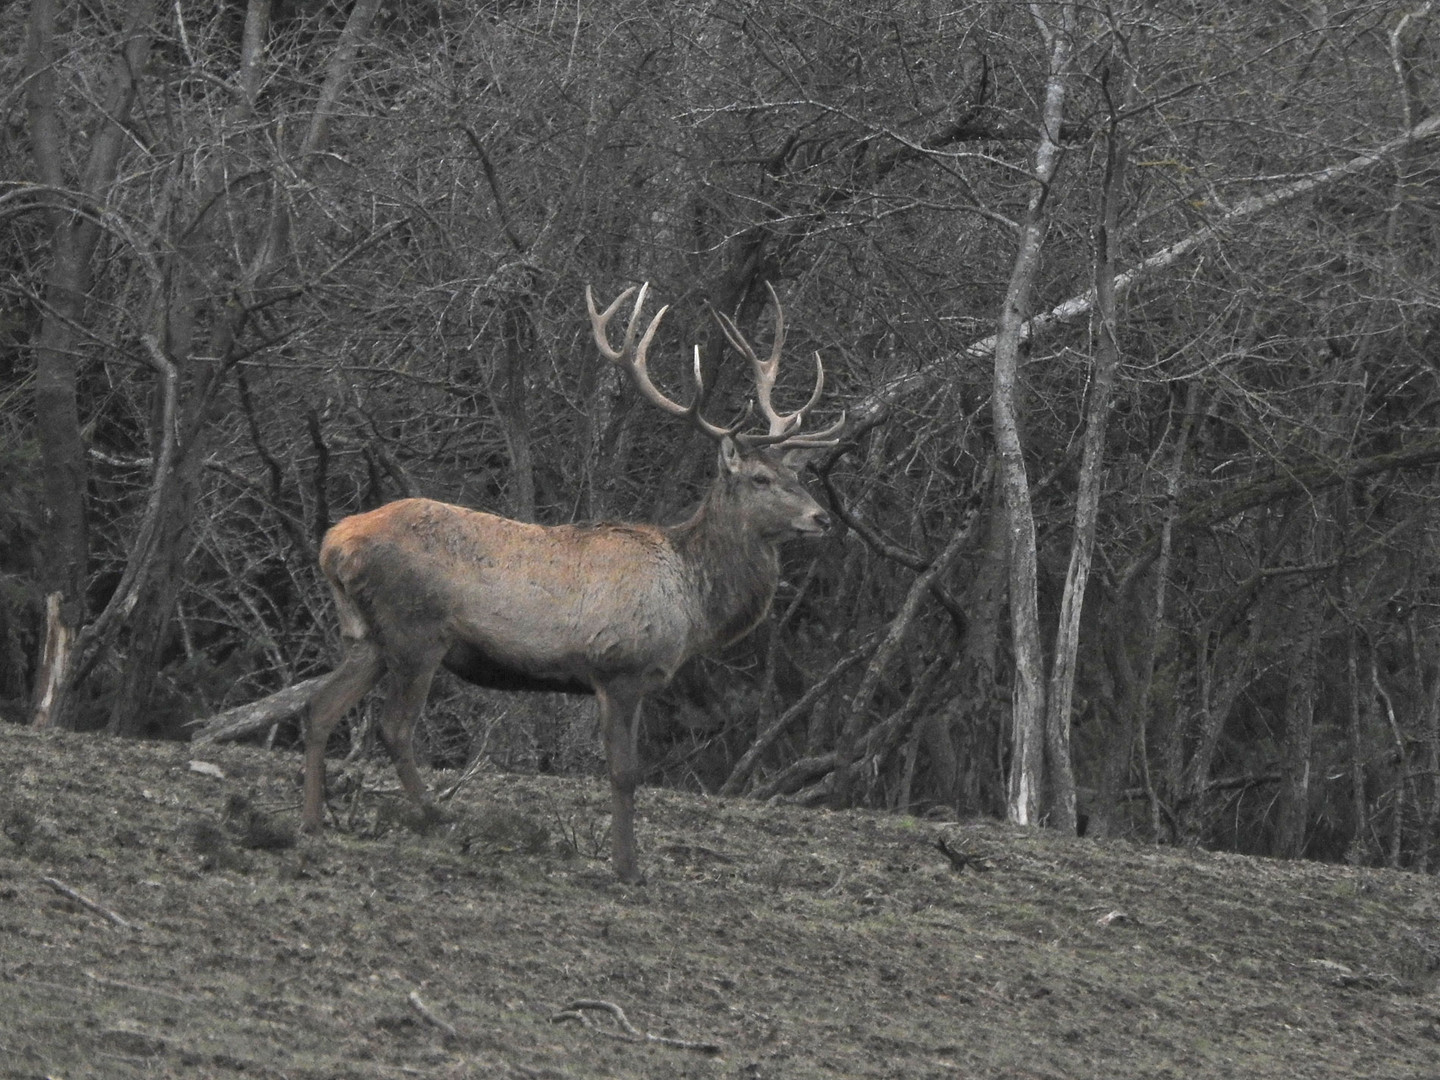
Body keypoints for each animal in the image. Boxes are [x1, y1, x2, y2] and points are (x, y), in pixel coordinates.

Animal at [303, 283, 840, 881]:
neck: (691, 601)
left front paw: (626, 862)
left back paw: (312, 822)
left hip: (370, 635)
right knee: (393, 726)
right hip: (416, 629)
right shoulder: (619, 666)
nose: (821, 517)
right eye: (761, 478)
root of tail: (333, 544)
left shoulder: (634, 679)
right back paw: (439, 818)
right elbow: (624, 773)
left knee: (319, 707)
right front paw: (627, 868)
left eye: (799, 474)